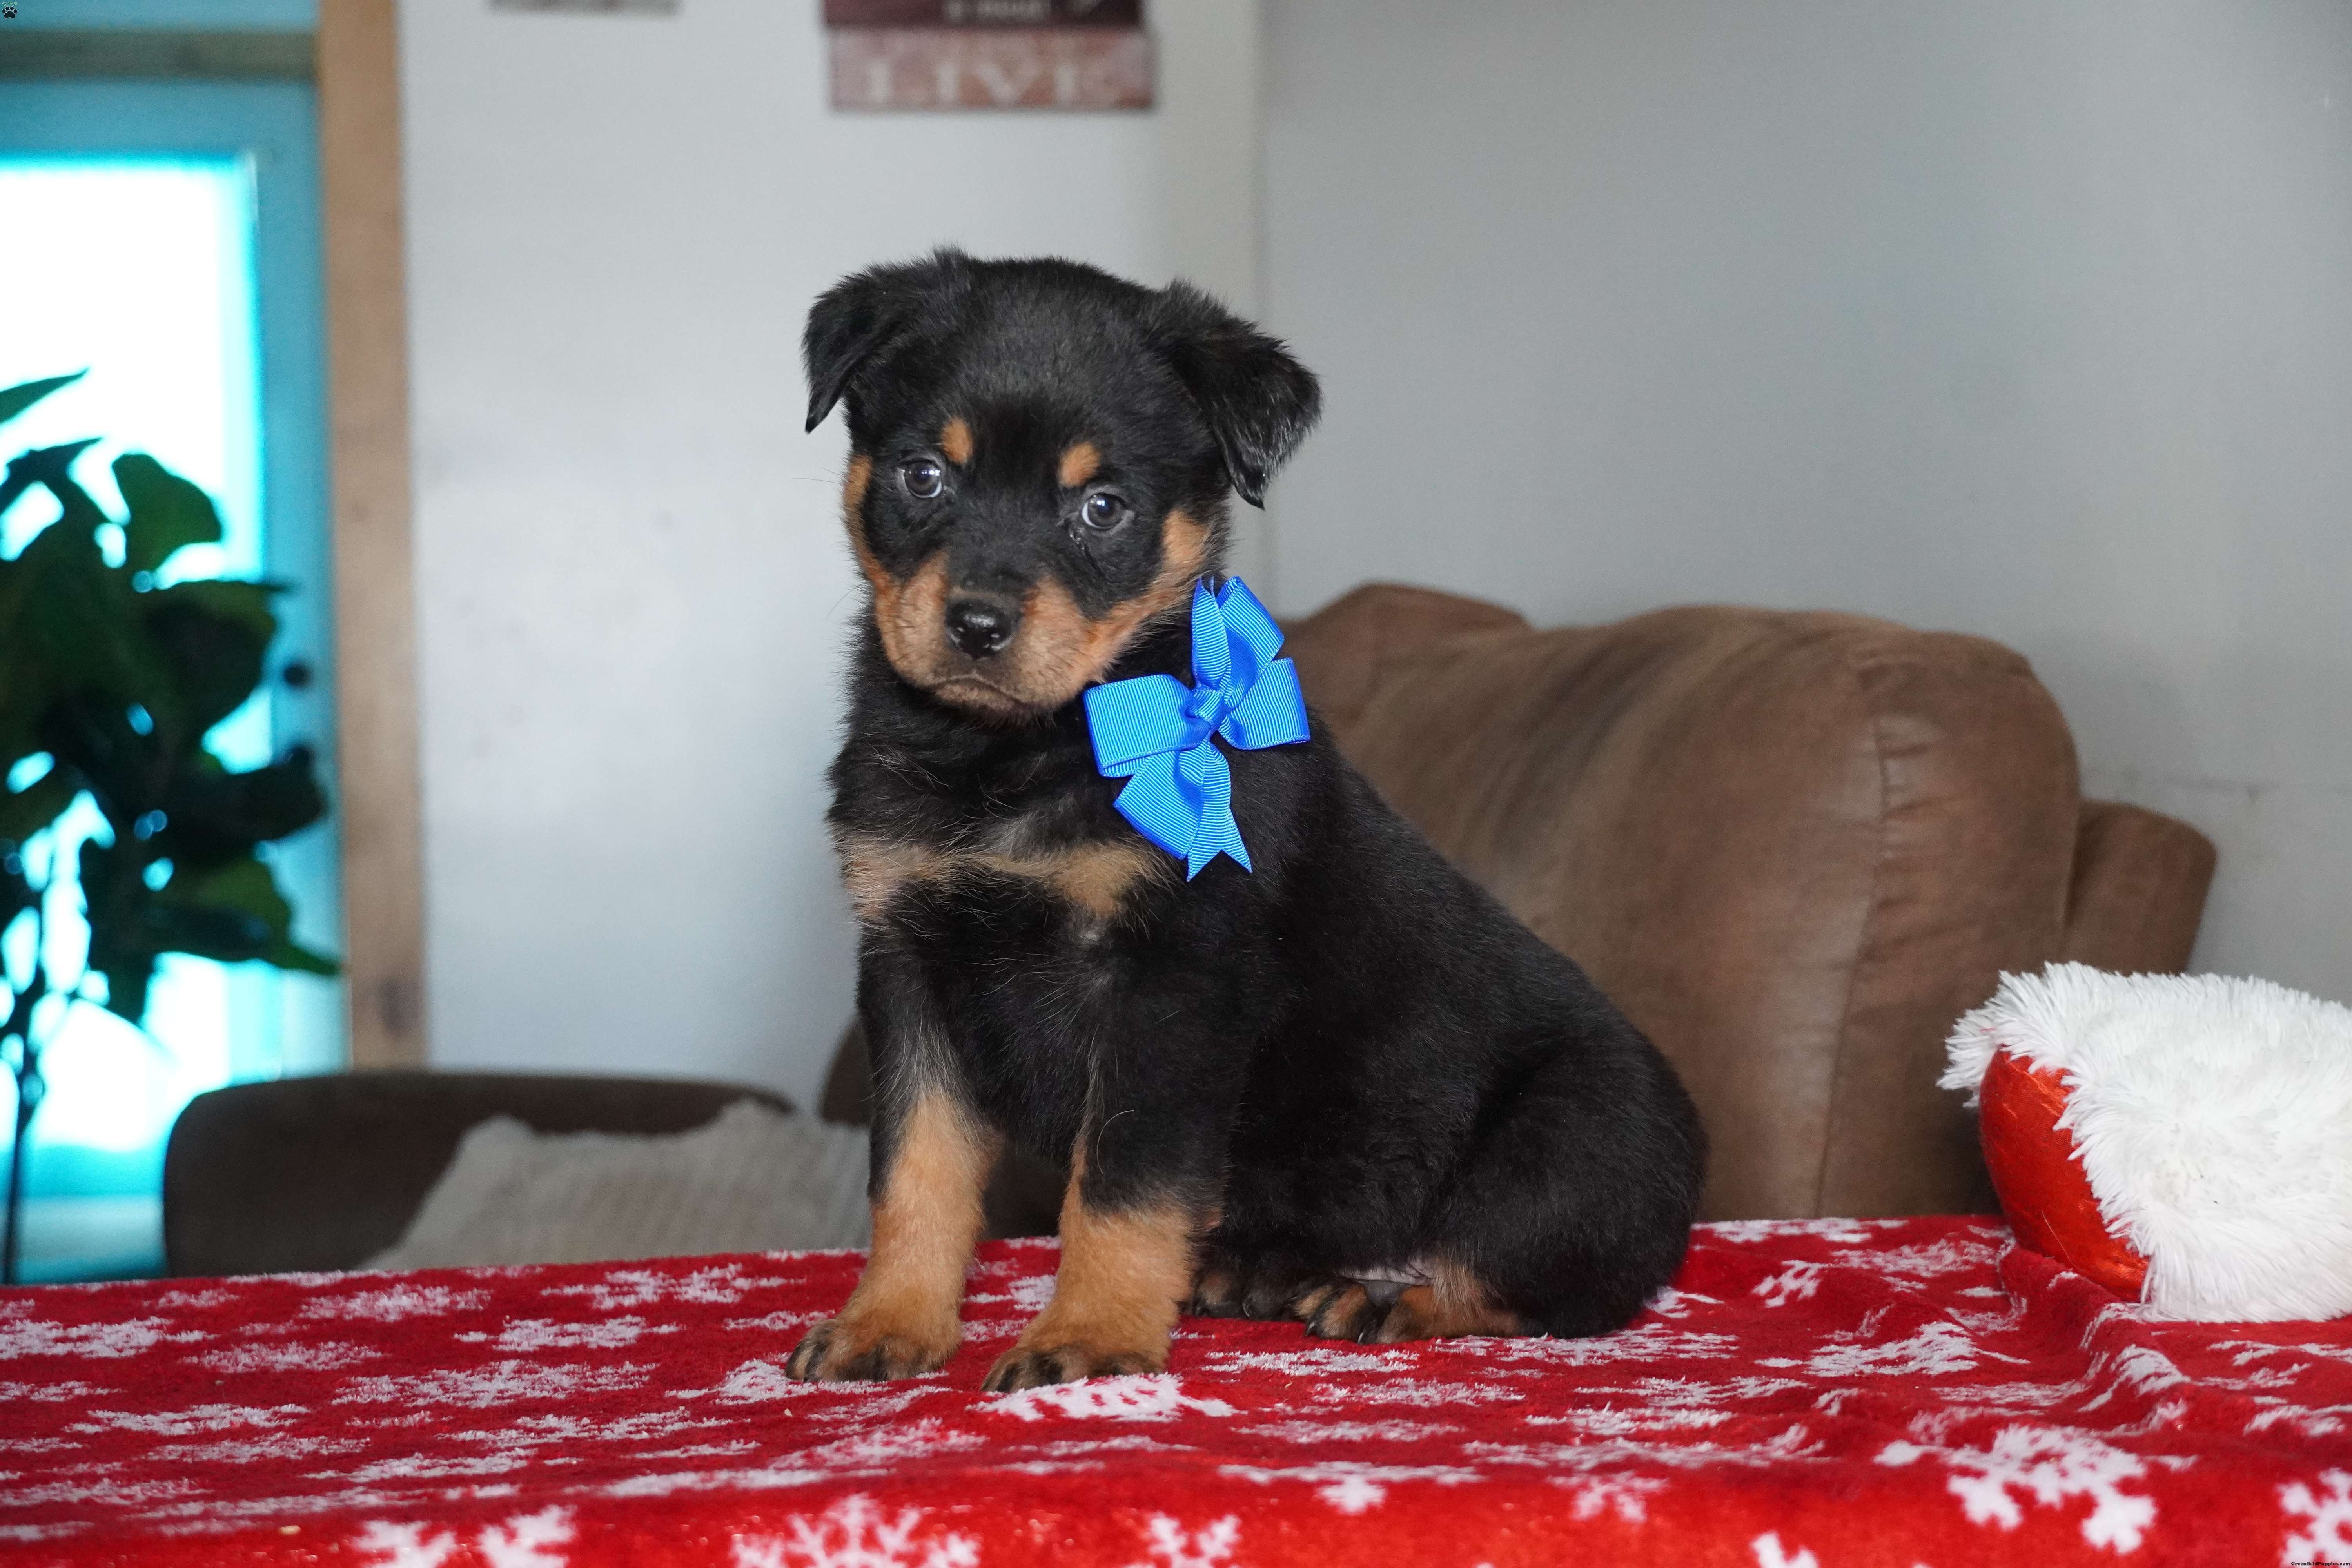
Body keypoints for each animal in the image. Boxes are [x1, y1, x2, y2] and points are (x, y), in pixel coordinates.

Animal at [786, 251, 1705, 1393]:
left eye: (1102, 507)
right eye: (924, 475)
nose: (978, 625)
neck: (1012, 754)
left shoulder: (1172, 979)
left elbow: (1121, 1181)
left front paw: (1088, 1336)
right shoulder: (908, 959)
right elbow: (916, 1168)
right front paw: (889, 1319)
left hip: (1580, 1136)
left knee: (1539, 1269)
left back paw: (1382, 1295)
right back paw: (1250, 1268)